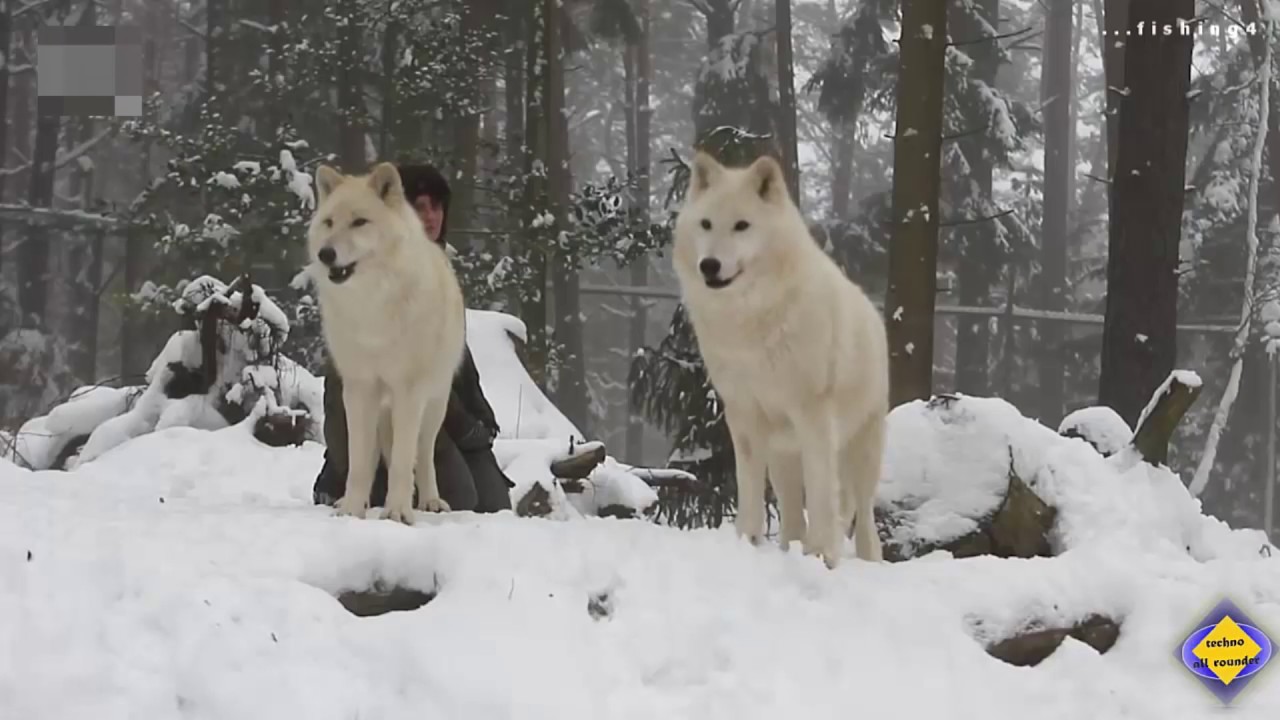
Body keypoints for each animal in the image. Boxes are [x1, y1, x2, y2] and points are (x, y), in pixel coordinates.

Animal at [671, 151, 888, 568]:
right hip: (782, 455)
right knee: (791, 515)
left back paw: (866, 561)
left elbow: (820, 497)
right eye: (706, 224)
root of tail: (874, 314)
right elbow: (749, 491)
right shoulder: (742, 415)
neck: (752, 319)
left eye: (742, 226)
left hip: (860, 451)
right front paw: (747, 540)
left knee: (864, 519)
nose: (709, 265)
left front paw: (823, 556)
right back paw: (791, 549)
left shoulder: (813, 415)